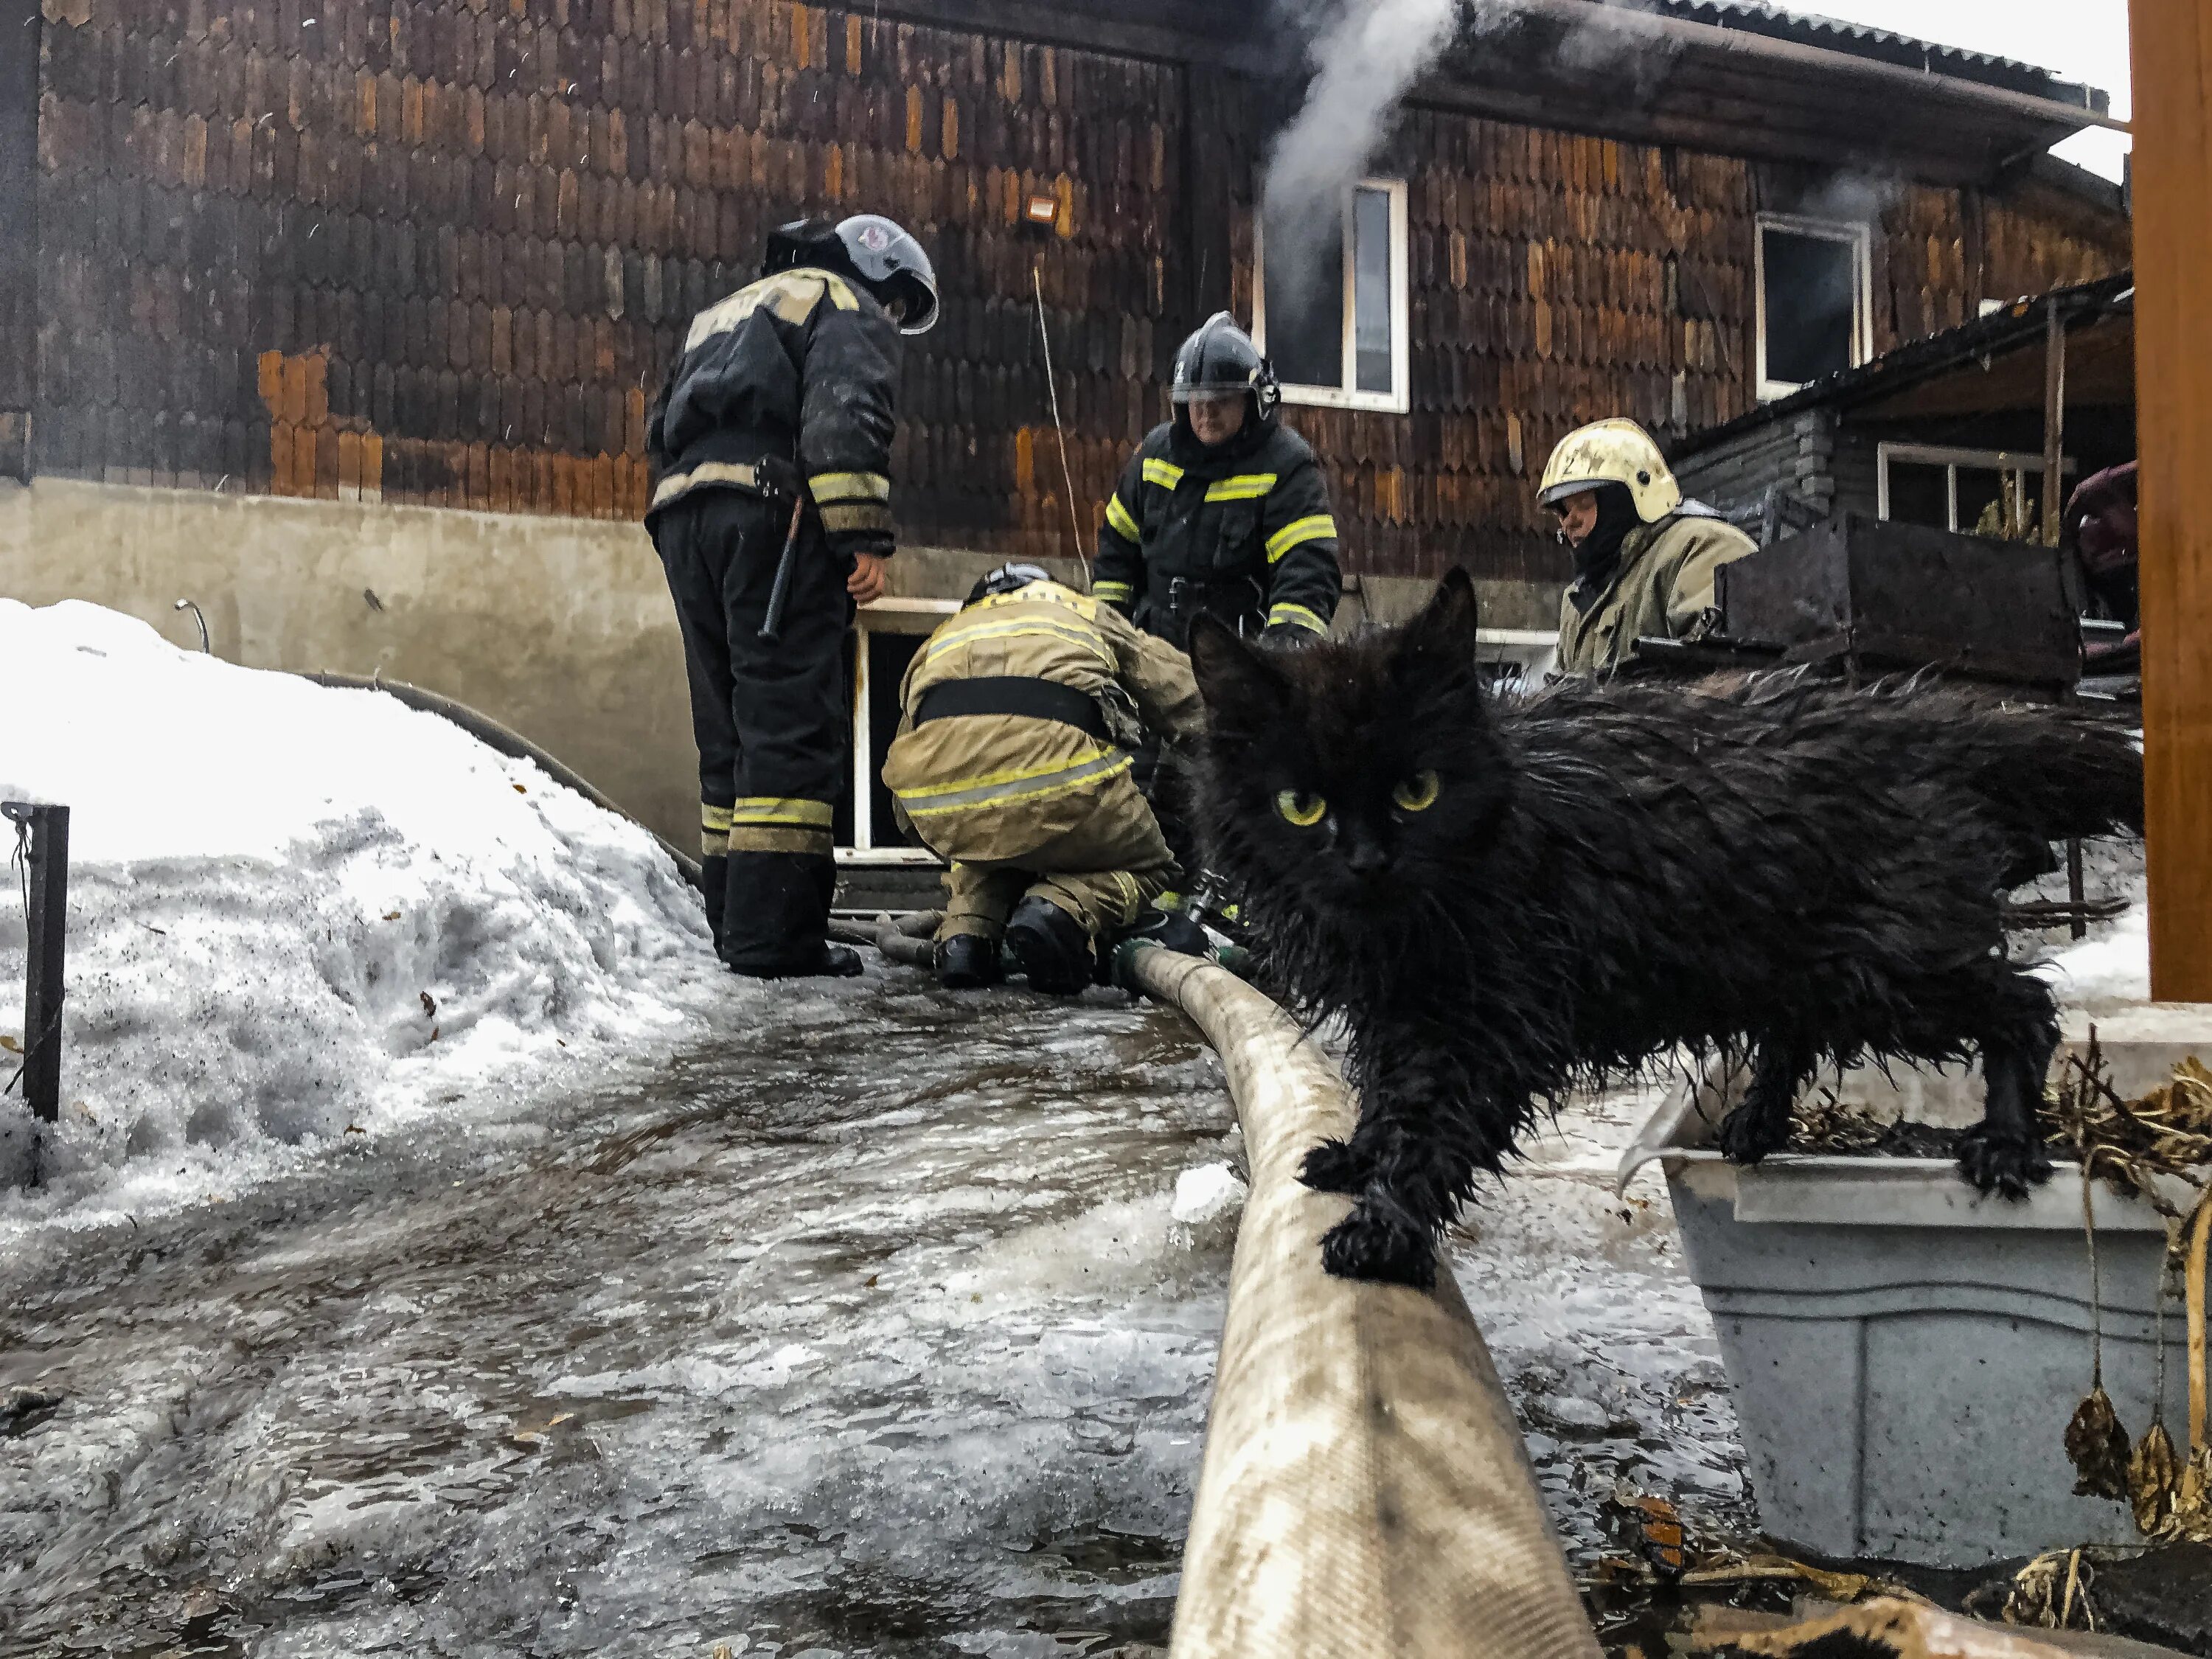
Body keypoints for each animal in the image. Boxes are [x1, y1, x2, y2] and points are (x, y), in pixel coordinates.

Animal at [1194, 566, 2141, 1292]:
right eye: (1300, 805)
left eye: (1417, 791)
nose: (1366, 863)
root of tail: (1909, 716)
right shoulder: (1399, 1007)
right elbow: (1389, 1095)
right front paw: (1359, 1158)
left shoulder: (1489, 1008)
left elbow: (1432, 1125)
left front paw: (1385, 1226)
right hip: (1797, 949)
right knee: (1799, 1026)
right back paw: (1757, 1125)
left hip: (1889, 959)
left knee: (2021, 1003)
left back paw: (2009, 1142)